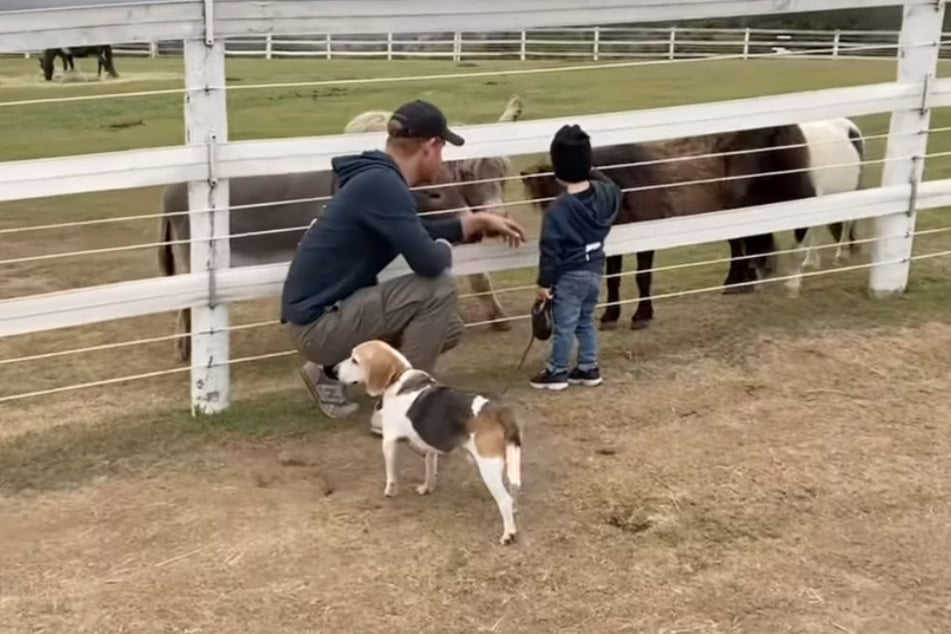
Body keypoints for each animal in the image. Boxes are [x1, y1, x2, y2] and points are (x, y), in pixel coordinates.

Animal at [338, 340, 524, 544]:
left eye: (355, 360)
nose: (334, 370)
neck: (399, 379)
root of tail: (498, 410)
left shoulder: (389, 442)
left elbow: (391, 474)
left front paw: (390, 491)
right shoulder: (430, 447)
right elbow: (429, 469)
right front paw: (427, 488)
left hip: (488, 466)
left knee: (504, 500)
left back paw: (509, 533)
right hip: (509, 460)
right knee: (513, 490)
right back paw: (514, 512)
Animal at [524, 116, 868, 330]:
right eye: (546, 205)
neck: (629, 181)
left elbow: (642, 277)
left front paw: (642, 315)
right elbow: (614, 279)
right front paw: (611, 315)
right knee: (742, 246)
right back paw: (739, 282)